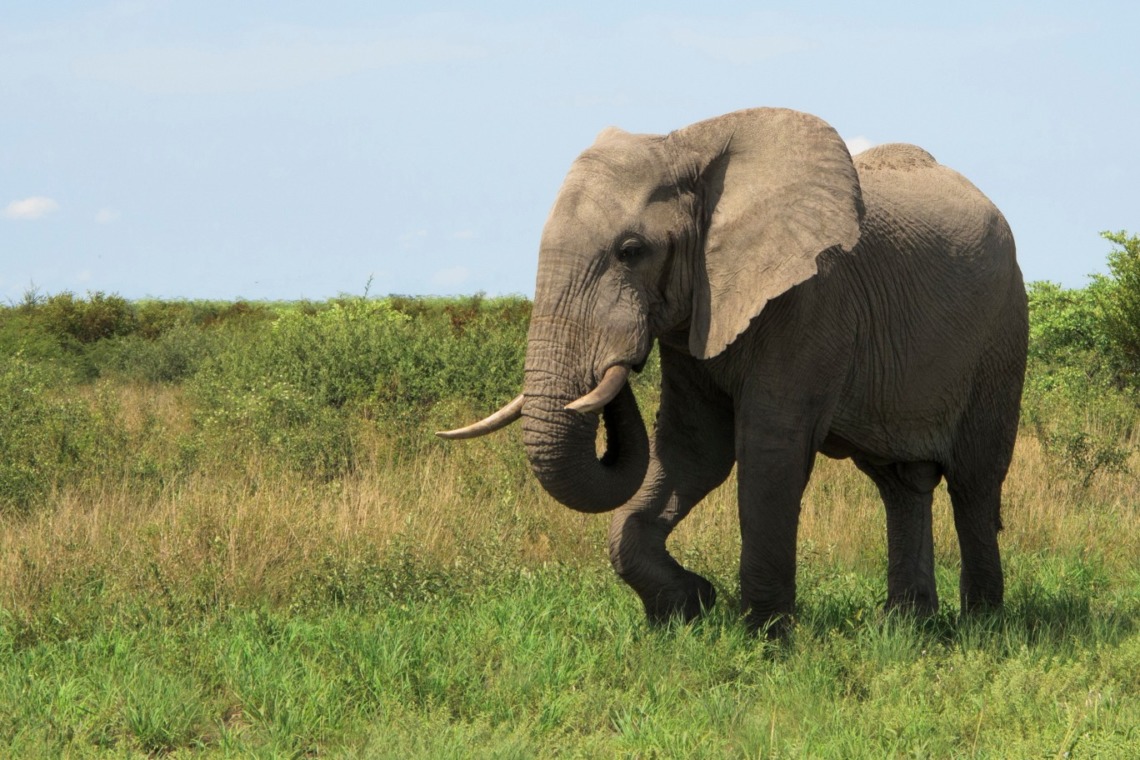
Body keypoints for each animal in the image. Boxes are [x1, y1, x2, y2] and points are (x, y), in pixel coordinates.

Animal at [440, 104, 1030, 633]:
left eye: (631, 251)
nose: (616, 364)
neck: (687, 145)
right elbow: (695, 448)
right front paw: (690, 605)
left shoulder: (811, 301)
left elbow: (769, 452)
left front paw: (765, 638)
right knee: (899, 482)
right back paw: (907, 627)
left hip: (1001, 335)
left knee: (974, 482)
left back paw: (981, 626)